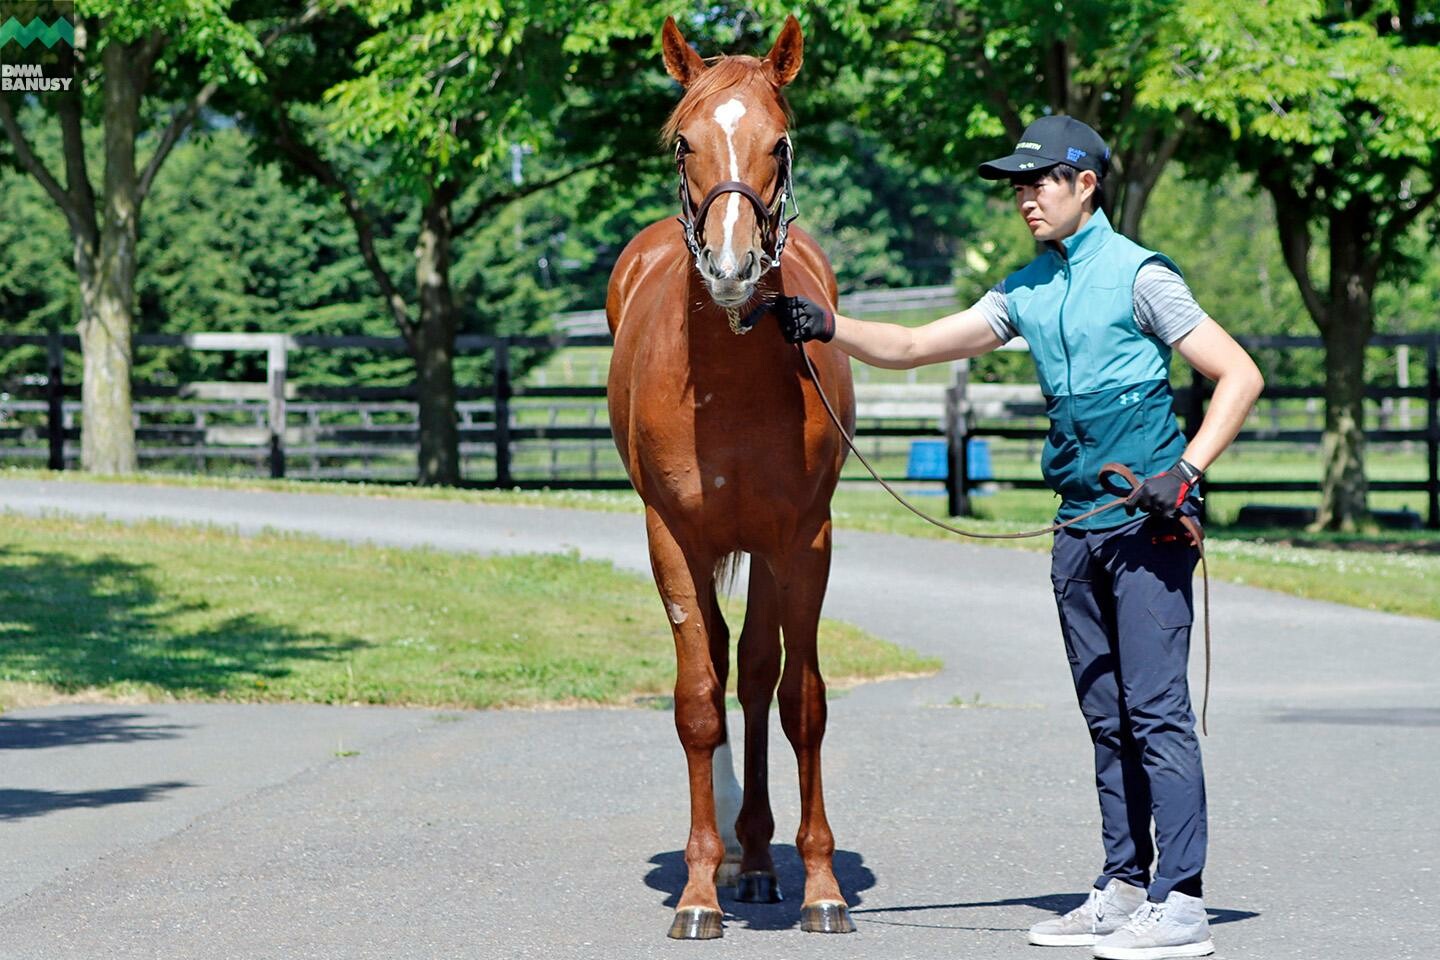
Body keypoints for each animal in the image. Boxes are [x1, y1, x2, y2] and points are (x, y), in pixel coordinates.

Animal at [604, 13, 852, 944]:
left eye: (779, 143)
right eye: (684, 143)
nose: (733, 268)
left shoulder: (803, 541)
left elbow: (801, 702)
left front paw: (820, 886)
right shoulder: (673, 540)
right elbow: (696, 702)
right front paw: (698, 892)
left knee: (757, 674)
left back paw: (760, 859)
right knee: (720, 667)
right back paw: (733, 861)